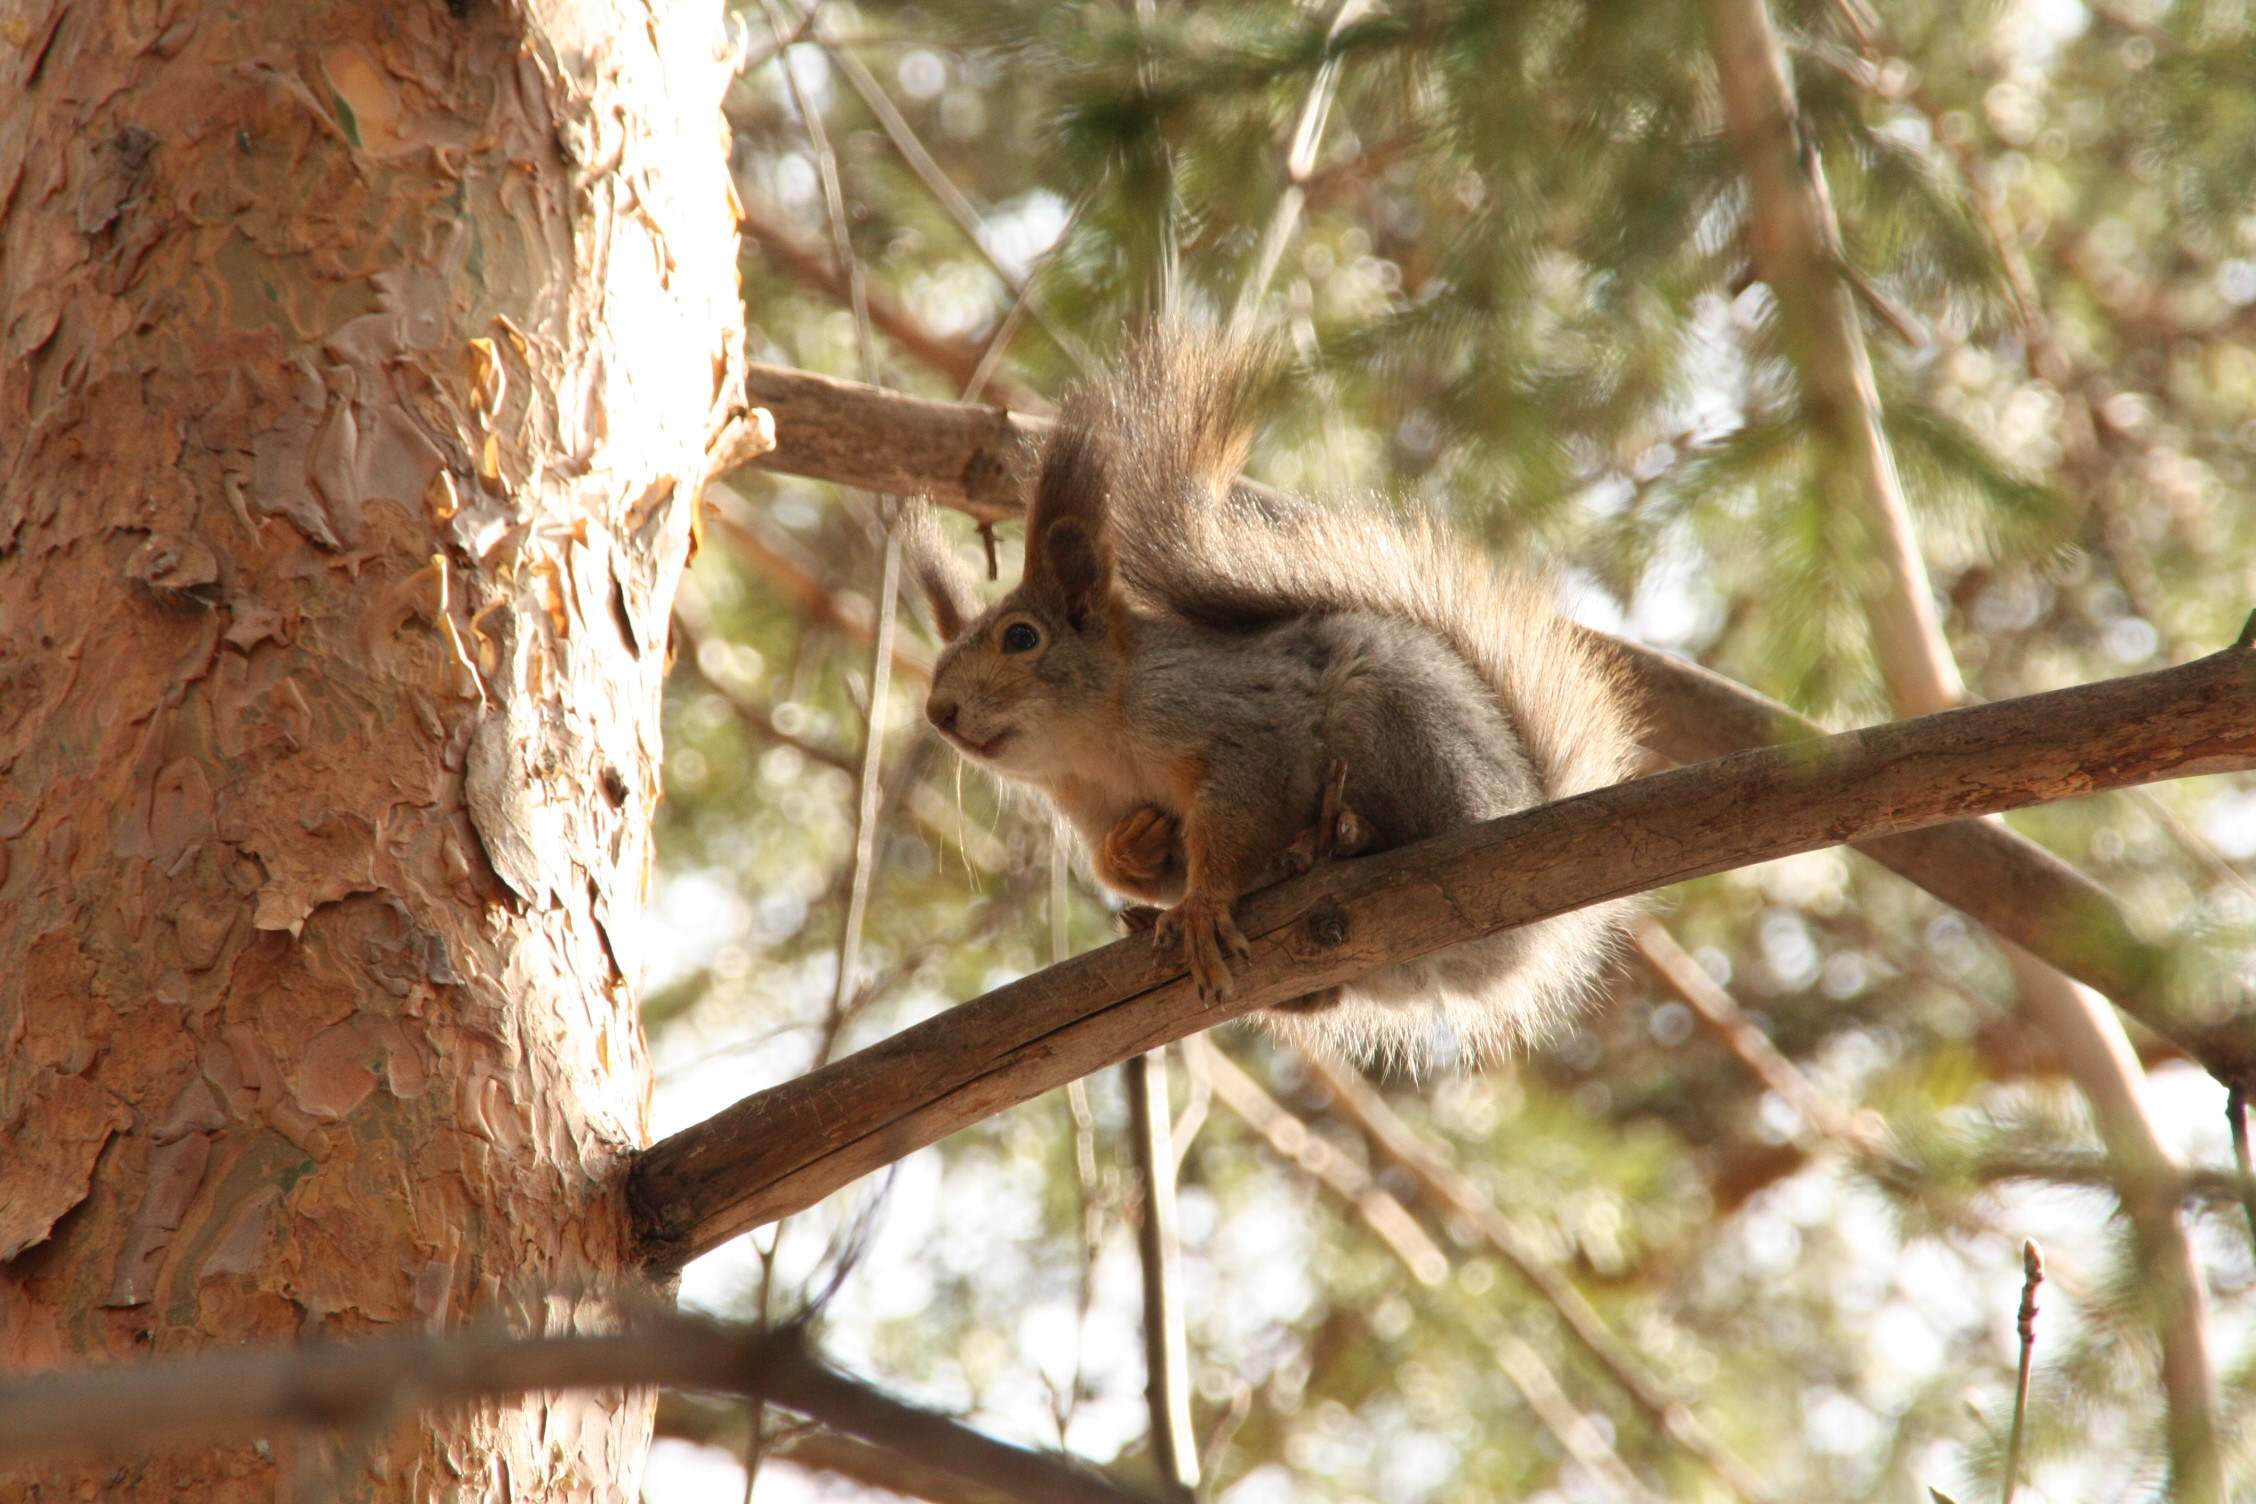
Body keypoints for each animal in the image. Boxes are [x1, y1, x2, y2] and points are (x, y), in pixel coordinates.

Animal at [897, 335, 1642, 1064]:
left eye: (1022, 638)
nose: (940, 714)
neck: (1095, 746)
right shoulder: (1089, 801)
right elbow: (1141, 861)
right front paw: (1131, 856)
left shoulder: (1233, 721)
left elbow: (1240, 811)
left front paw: (1201, 906)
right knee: (1323, 995)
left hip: (1404, 730)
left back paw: (1338, 839)